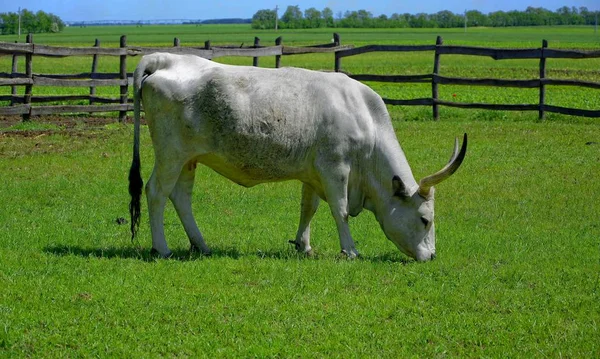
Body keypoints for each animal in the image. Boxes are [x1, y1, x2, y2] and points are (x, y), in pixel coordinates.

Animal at [127, 52, 468, 262]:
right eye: (425, 219)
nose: (431, 256)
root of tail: (164, 58)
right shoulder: (335, 169)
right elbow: (340, 210)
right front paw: (350, 250)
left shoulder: (313, 173)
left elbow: (309, 208)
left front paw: (303, 245)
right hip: (171, 155)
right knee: (156, 192)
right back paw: (162, 248)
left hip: (188, 158)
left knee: (181, 197)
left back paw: (201, 244)